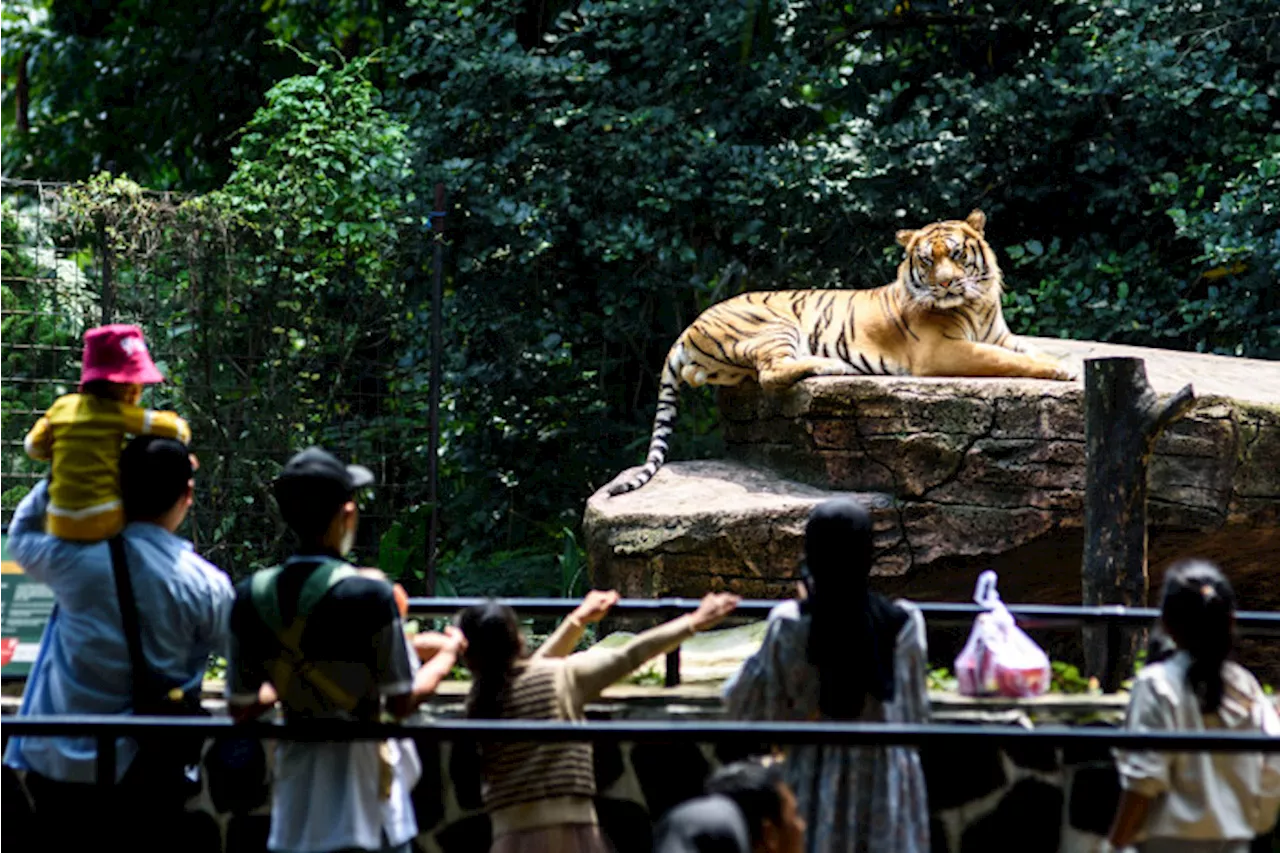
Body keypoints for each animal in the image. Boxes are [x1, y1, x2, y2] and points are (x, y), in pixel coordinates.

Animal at [604, 208, 1075, 494]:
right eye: (927, 260)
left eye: (958, 254)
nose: (945, 284)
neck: (977, 304)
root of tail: (685, 330)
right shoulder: (942, 353)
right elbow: (1011, 361)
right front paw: (1064, 374)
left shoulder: (999, 335)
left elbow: (1028, 350)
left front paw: (1065, 363)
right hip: (774, 324)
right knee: (771, 373)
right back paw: (834, 365)